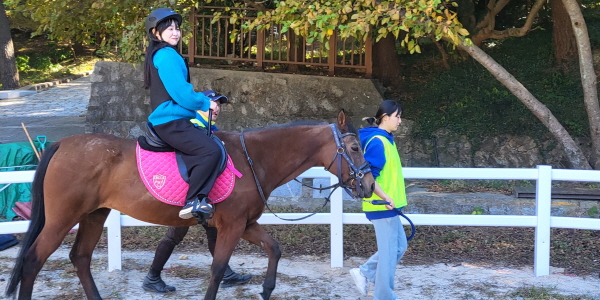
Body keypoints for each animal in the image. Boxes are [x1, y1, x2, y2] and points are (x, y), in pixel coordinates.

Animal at [7, 110, 376, 300]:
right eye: (355, 147)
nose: (370, 185)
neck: (252, 159)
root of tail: (62, 144)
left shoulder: (245, 224)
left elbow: (274, 249)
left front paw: (267, 288)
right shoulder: (231, 227)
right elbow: (217, 270)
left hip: (94, 215)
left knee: (80, 258)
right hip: (62, 218)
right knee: (33, 260)